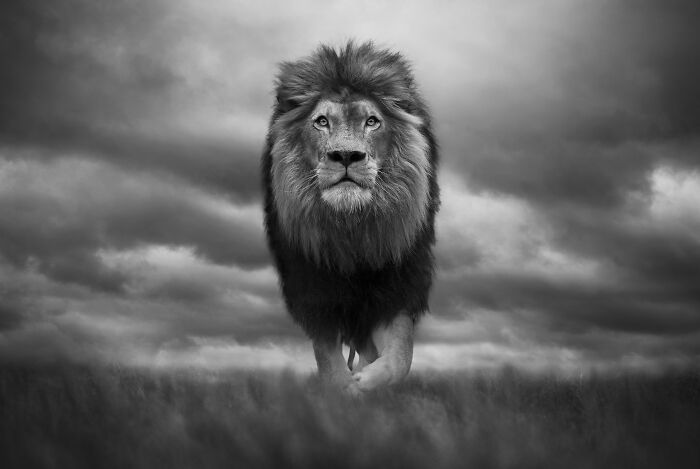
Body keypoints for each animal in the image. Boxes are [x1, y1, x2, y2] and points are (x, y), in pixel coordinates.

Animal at [262, 41, 439, 393]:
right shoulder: (312, 287)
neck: (352, 229)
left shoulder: (404, 277)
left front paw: (370, 379)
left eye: (372, 121)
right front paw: (344, 387)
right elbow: (327, 356)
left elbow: (401, 351)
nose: (345, 155)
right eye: (321, 121)